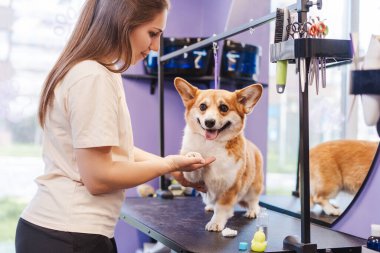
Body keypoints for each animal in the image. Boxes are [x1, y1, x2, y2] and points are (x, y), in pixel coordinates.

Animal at [174, 78, 264, 232]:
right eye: (202, 106)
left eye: (224, 108)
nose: (209, 122)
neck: (212, 144)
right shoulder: (195, 179)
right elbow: (193, 169)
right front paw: (193, 156)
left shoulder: (230, 186)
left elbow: (222, 208)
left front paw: (216, 222)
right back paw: (210, 206)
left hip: (254, 187)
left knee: (253, 201)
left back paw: (252, 211)